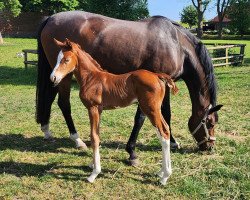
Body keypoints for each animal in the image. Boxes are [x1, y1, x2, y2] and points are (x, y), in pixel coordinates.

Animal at [50, 38, 178, 184]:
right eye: (57, 58)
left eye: (66, 60)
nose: (53, 78)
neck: (91, 78)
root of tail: (157, 75)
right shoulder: (99, 110)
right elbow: (97, 135)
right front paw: (92, 165)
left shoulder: (93, 108)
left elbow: (94, 137)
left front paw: (94, 173)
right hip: (154, 109)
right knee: (165, 130)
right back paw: (161, 172)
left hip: (150, 109)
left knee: (163, 132)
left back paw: (165, 176)